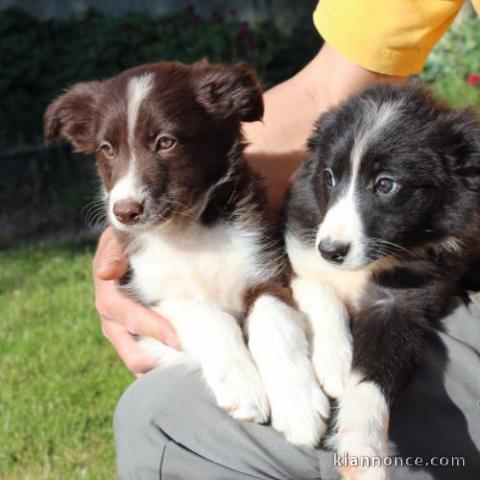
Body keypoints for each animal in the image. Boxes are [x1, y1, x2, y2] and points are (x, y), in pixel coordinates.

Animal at [43, 60, 330, 446]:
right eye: (106, 149)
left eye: (166, 142)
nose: (125, 211)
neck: (186, 232)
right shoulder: (141, 301)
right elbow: (206, 314)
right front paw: (243, 387)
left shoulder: (269, 273)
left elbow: (275, 323)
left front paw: (298, 405)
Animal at [284, 81, 480, 476]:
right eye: (329, 177)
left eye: (385, 185)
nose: (331, 250)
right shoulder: (299, 251)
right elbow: (319, 289)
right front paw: (335, 361)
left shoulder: (402, 304)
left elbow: (376, 374)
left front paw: (363, 453)